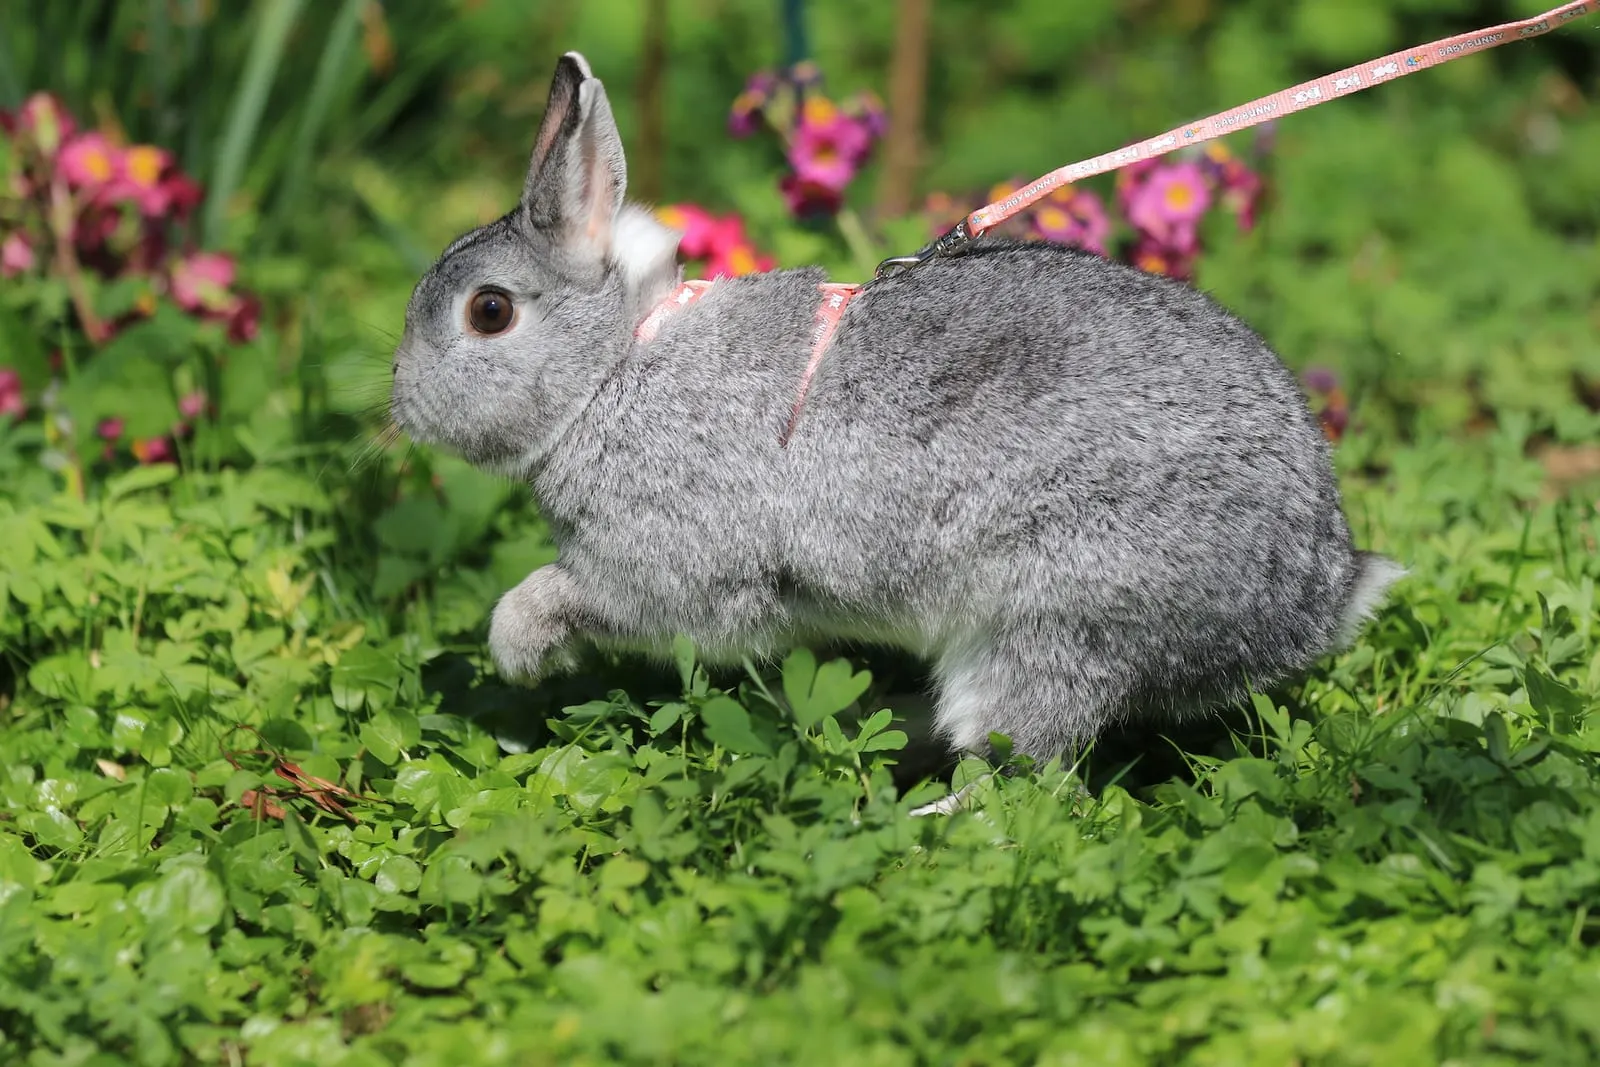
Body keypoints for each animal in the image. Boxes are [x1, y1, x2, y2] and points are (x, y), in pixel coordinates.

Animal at [388, 52, 1404, 807]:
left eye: (488, 312)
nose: (400, 405)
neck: (614, 365)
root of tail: (1317, 593)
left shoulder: (667, 561)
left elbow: (573, 592)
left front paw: (517, 648)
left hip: (1052, 618)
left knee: (1019, 774)